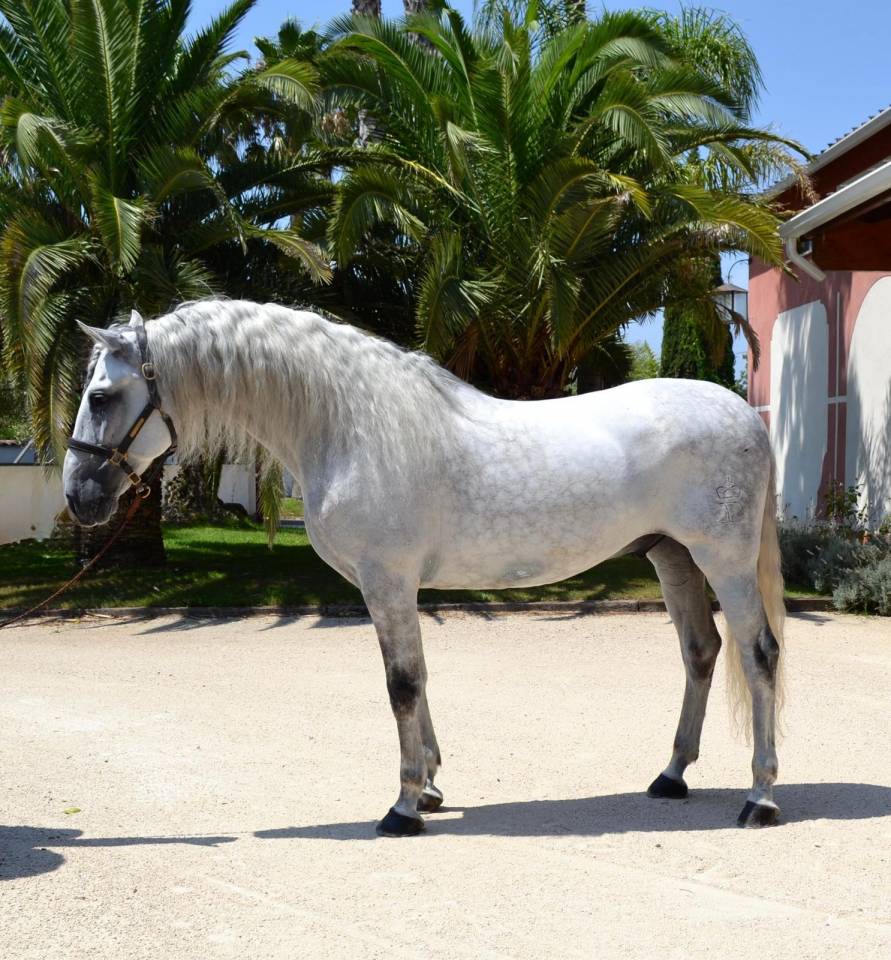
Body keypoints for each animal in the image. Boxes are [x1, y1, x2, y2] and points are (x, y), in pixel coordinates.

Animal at [63, 300, 785, 836]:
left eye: (101, 396)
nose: (78, 497)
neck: (351, 426)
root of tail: (742, 414)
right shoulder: (394, 586)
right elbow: (420, 679)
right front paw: (433, 785)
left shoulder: (387, 580)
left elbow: (402, 684)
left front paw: (405, 805)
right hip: (673, 557)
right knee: (700, 652)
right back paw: (672, 776)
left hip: (723, 561)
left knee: (759, 653)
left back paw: (759, 797)